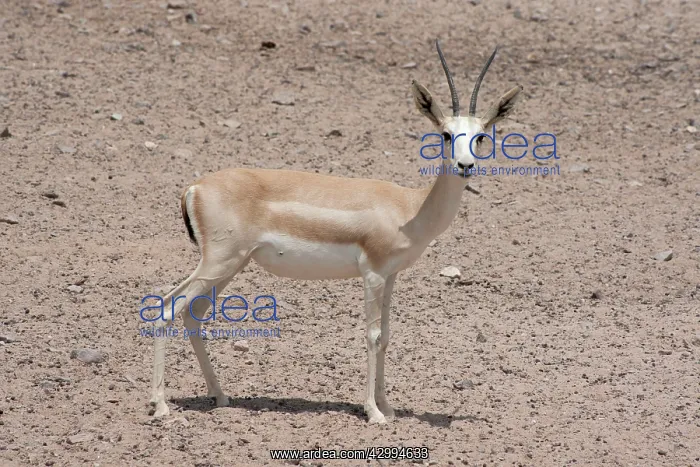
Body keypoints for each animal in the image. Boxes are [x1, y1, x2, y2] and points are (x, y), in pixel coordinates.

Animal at [149, 39, 523, 424]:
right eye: (446, 134)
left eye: (481, 136)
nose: (466, 165)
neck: (409, 207)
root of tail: (194, 187)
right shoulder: (372, 274)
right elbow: (371, 335)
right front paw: (373, 412)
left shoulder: (391, 276)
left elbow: (387, 336)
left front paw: (388, 406)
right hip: (219, 263)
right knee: (166, 309)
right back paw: (161, 405)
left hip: (230, 267)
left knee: (191, 314)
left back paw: (221, 397)